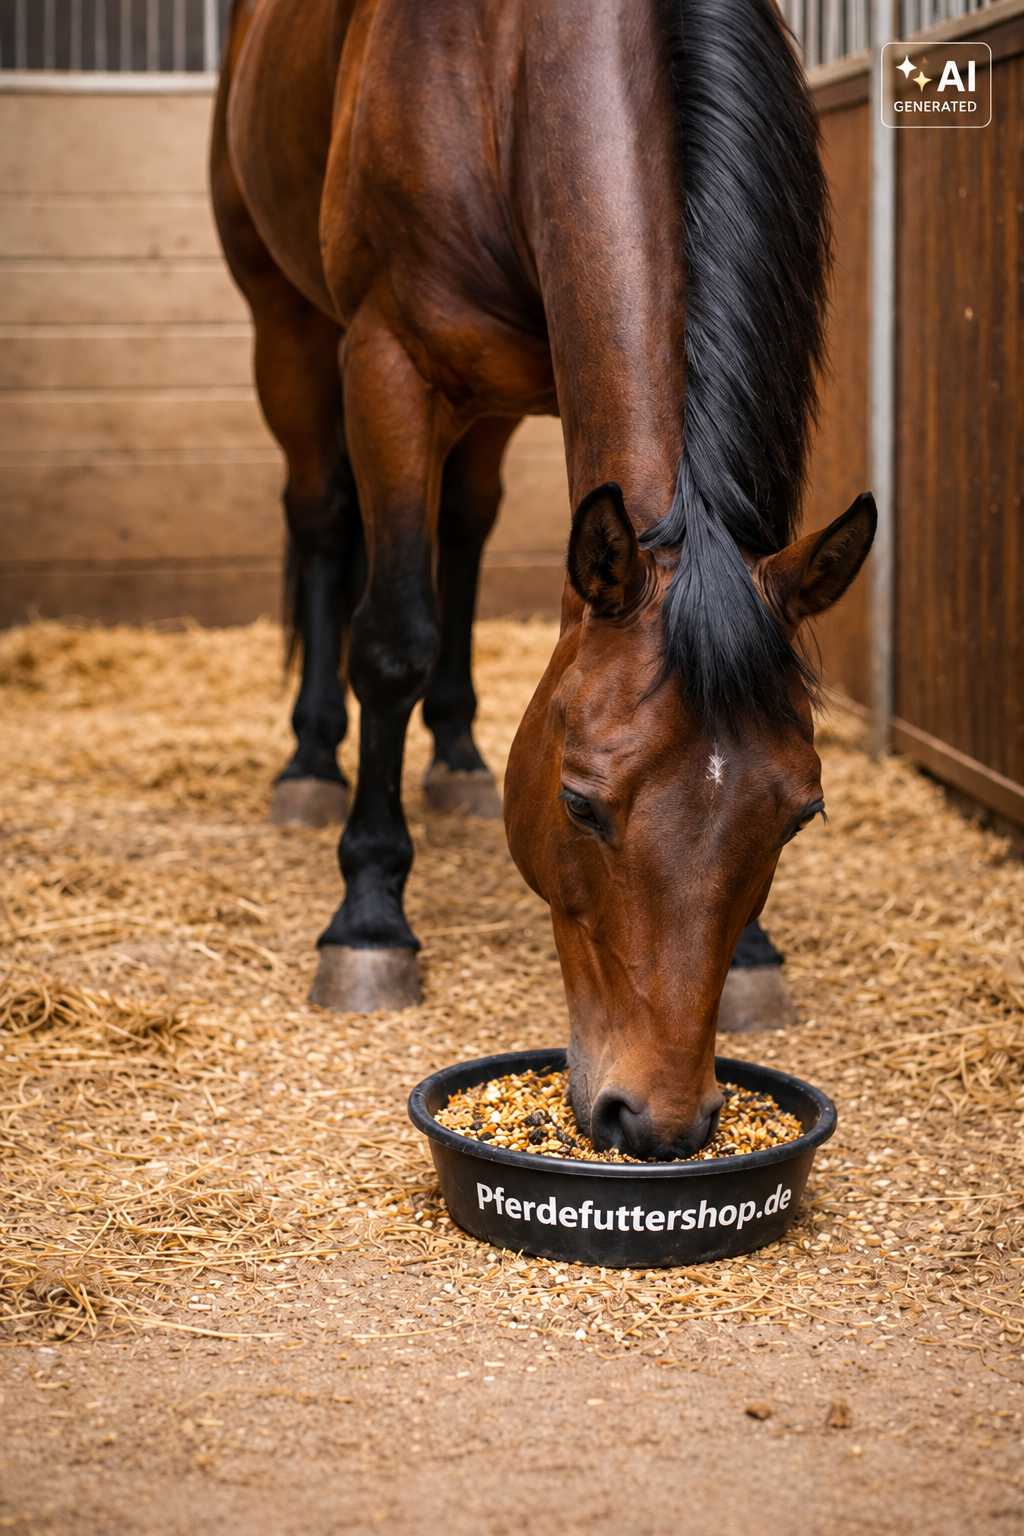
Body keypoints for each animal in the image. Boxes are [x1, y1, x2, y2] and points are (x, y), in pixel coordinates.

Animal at [211, 0, 876, 1158]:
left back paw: (458, 755)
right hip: (292, 329)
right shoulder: (387, 361)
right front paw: (369, 918)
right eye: (577, 806)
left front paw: (754, 953)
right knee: (325, 517)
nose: (656, 1120)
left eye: (800, 814)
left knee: (465, 527)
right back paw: (309, 763)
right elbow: (392, 639)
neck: (507, 65)